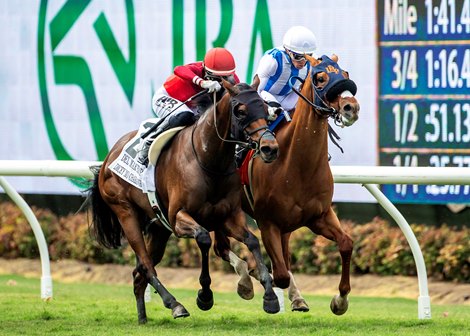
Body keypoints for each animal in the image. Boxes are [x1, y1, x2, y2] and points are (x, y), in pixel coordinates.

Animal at [87, 80, 280, 322]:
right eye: (241, 111)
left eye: (264, 108)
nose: (270, 148)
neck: (210, 160)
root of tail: (106, 160)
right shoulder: (179, 218)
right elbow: (204, 239)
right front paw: (205, 295)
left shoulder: (228, 216)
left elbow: (252, 241)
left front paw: (270, 296)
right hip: (125, 212)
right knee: (146, 265)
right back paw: (175, 304)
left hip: (159, 228)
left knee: (139, 273)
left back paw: (143, 318)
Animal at [228, 54, 360, 316]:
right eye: (320, 78)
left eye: (345, 74)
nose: (351, 107)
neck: (297, 165)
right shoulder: (267, 222)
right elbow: (279, 274)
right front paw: (260, 278)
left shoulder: (320, 216)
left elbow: (346, 244)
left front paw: (340, 300)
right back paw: (245, 278)